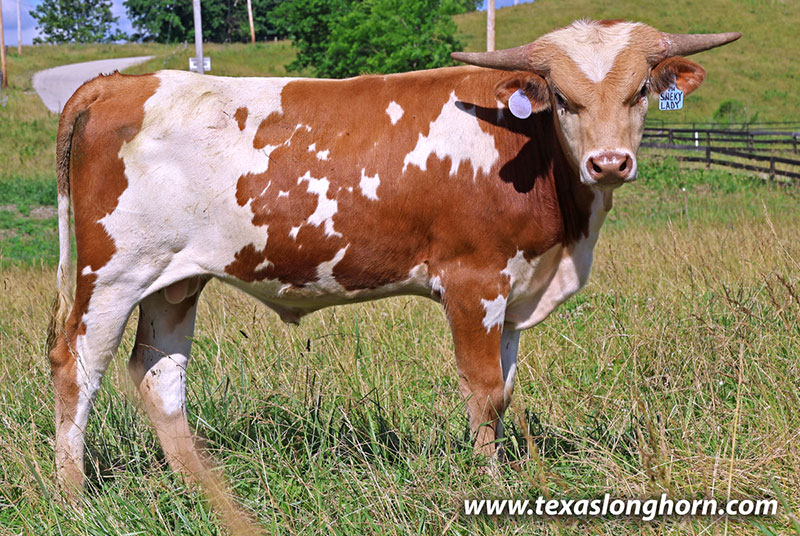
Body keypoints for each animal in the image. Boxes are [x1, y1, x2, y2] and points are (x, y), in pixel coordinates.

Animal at [47, 19, 739, 532]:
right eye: (564, 99)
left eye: (640, 92)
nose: (609, 162)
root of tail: (117, 83)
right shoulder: (474, 281)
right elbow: (484, 389)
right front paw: (489, 485)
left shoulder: (516, 291)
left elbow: (505, 387)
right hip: (111, 273)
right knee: (77, 364)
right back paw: (74, 497)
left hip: (174, 278)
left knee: (158, 373)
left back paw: (209, 495)